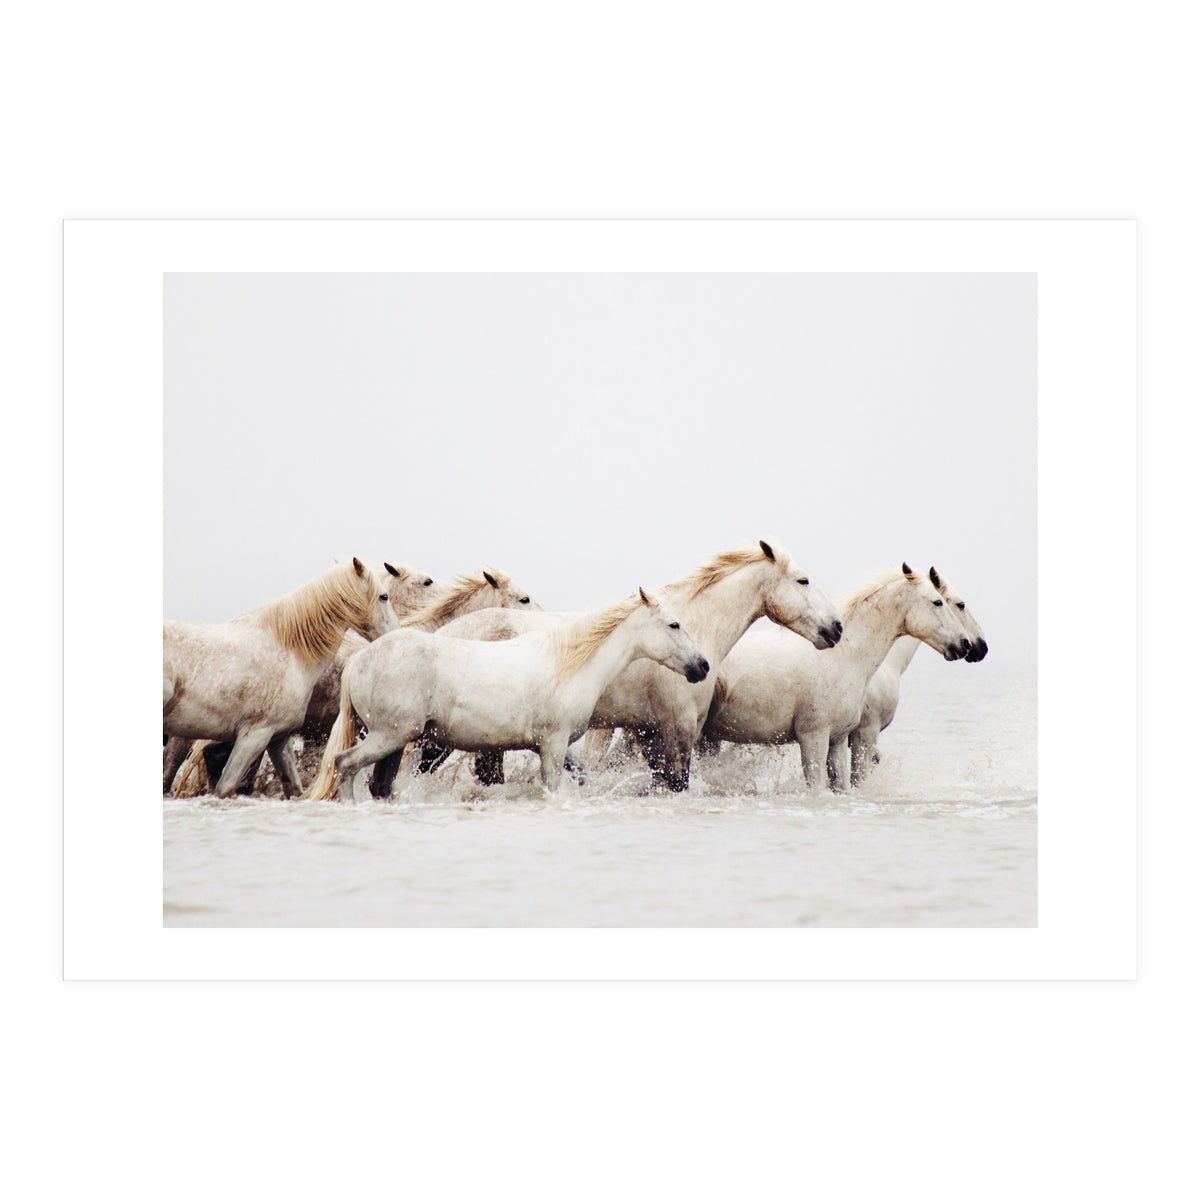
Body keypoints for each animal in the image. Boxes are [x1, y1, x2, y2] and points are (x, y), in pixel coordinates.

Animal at [309, 588, 711, 799]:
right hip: (391, 735)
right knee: (345, 765)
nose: (702, 666)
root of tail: (359, 660)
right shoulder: (553, 744)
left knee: (378, 783)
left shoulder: (551, 746)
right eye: (674, 625)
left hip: (395, 741)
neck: (568, 664)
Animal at [423, 541, 843, 791]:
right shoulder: (677, 728)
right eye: (803, 580)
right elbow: (677, 782)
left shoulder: (650, 731)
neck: (693, 625)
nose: (836, 628)